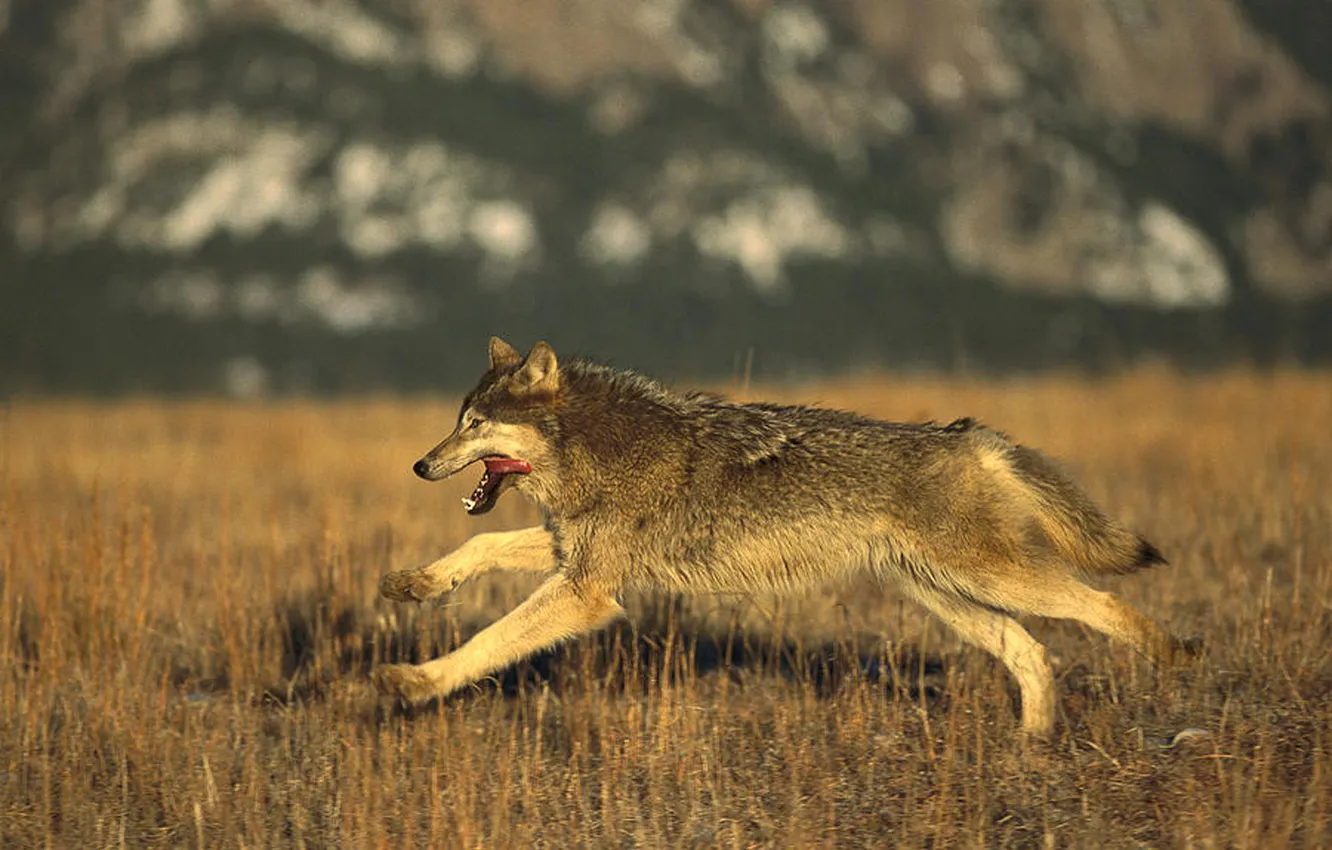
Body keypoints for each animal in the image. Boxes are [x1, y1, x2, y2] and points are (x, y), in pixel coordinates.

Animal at [373, 337, 1198, 736]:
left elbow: (488, 641)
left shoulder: (586, 590)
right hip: (950, 599)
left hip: (993, 581)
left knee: (1102, 607)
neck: (596, 450)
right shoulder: (575, 554)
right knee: (1032, 653)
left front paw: (416, 681)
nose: (419, 465)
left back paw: (1176, 658)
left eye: (475, 424)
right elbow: (477, 550)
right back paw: (1030, 750)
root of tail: (969, 434)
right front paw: (414, 584)